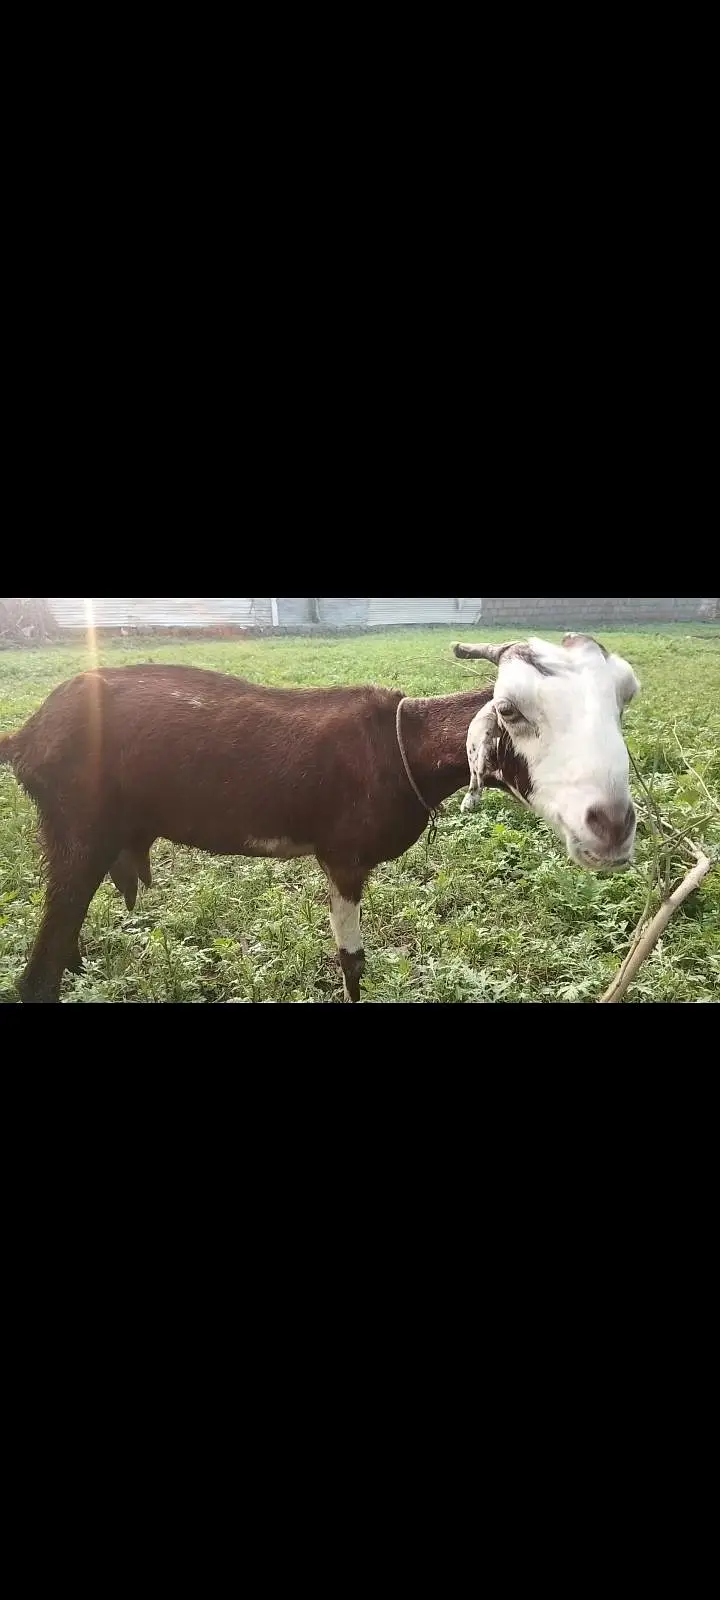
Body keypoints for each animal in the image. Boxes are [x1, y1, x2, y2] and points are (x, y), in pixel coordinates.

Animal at [0, 634, 640, 1002]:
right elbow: (352, 964)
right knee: (39, 978)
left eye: (623, 699)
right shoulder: (344, 856)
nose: (610, 825)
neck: (398, 746)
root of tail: (26, 738)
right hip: (77, 828)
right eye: (508, 710)